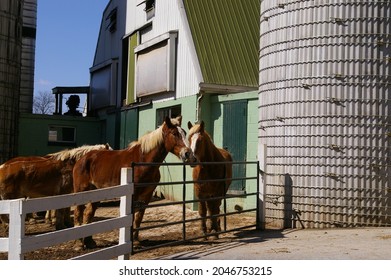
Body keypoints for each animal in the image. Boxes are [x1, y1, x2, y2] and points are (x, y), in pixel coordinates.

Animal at [72, 116, 196, 249]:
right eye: (174, 133)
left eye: (184, 132)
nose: (189, 155)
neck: (143, 161)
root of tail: (82, 159)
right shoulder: (133, 194)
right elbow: (132, 217)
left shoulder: (146, 194)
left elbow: (138, 217)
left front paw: (136, 241)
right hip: (81, 191)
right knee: (78, 212)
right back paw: (78, 244)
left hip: (97, 192)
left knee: (89, 213)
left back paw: (89, 241)